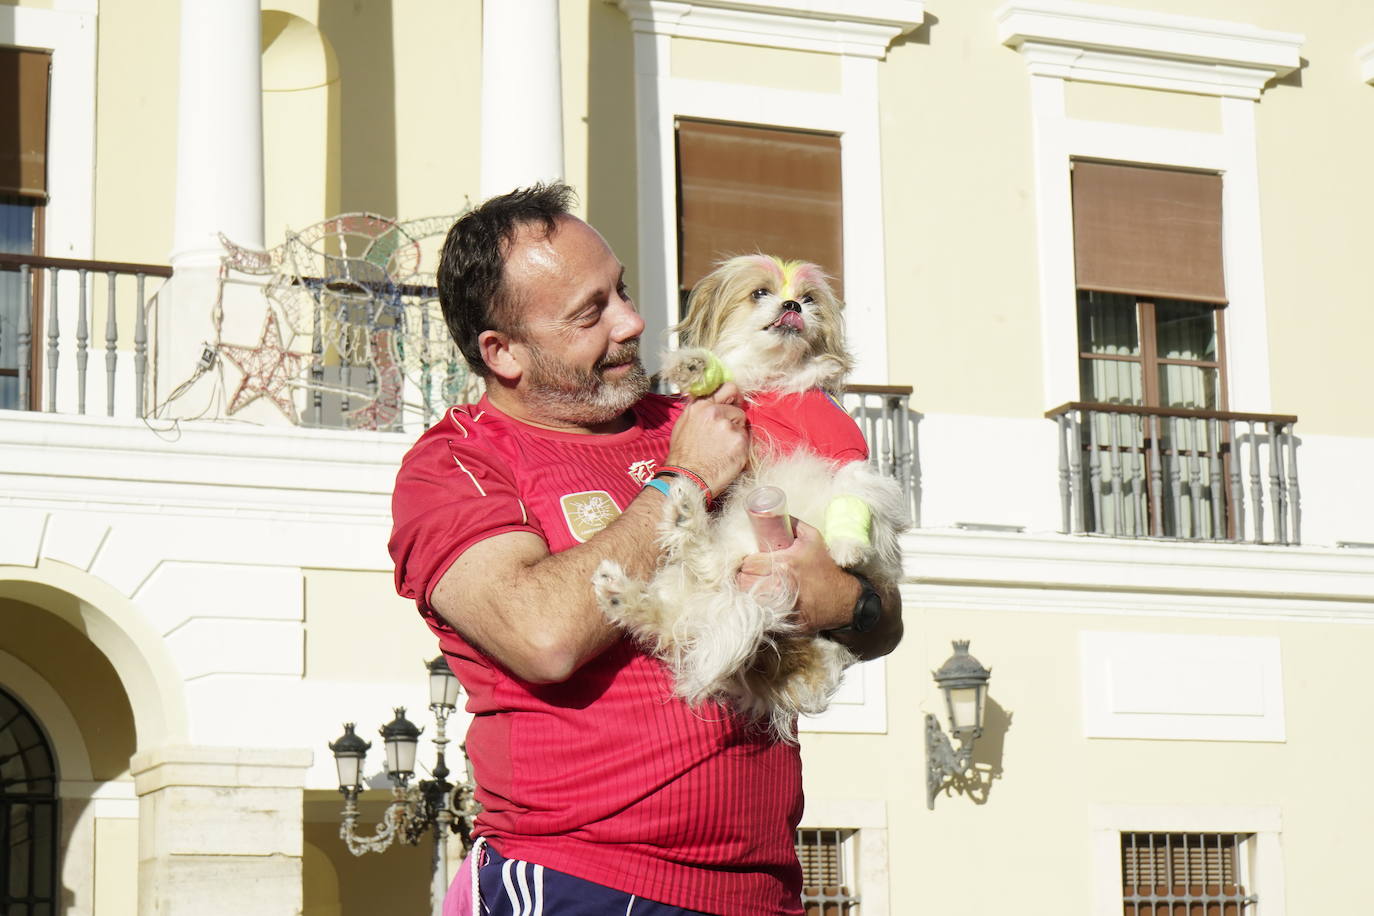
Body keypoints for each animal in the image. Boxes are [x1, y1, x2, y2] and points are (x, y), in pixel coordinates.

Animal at [593, 254, 906, 741]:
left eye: (810, 298)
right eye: (760, 293)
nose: (793, 304)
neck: (776, 383)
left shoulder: (853, 460)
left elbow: (852, 497)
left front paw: (847, 547)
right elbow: (722, 378)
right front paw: (695, 366)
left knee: (699, 591)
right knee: (684, 607)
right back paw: (635, 579)